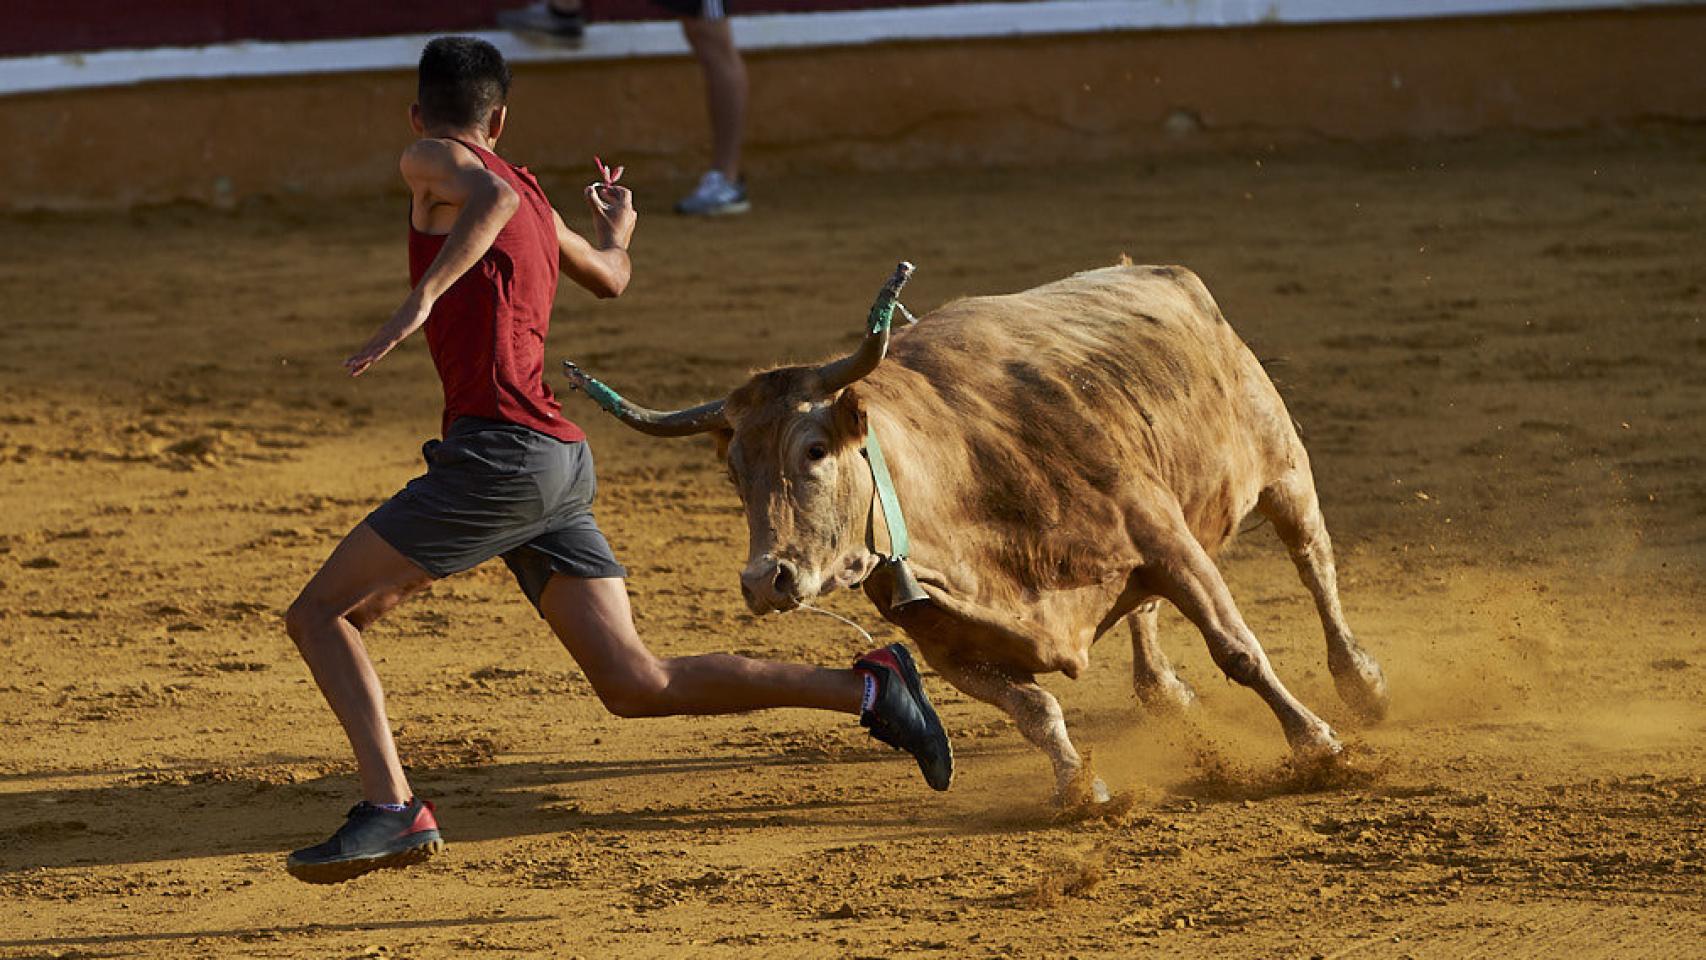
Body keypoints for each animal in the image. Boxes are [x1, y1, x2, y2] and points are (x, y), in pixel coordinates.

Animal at [559, 262, 1385, 804]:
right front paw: (1079, 788)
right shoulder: (950, 648)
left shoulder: (1165, 540)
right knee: (1146, 611)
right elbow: (1035, 710)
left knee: (1314, 563)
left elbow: (1239, 650)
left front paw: (1317, 744)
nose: (767, 580)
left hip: (1282, 463)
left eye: (815, 450)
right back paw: (1163, 692)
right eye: (733, 470)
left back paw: (1360, 681)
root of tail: (1162, 274)